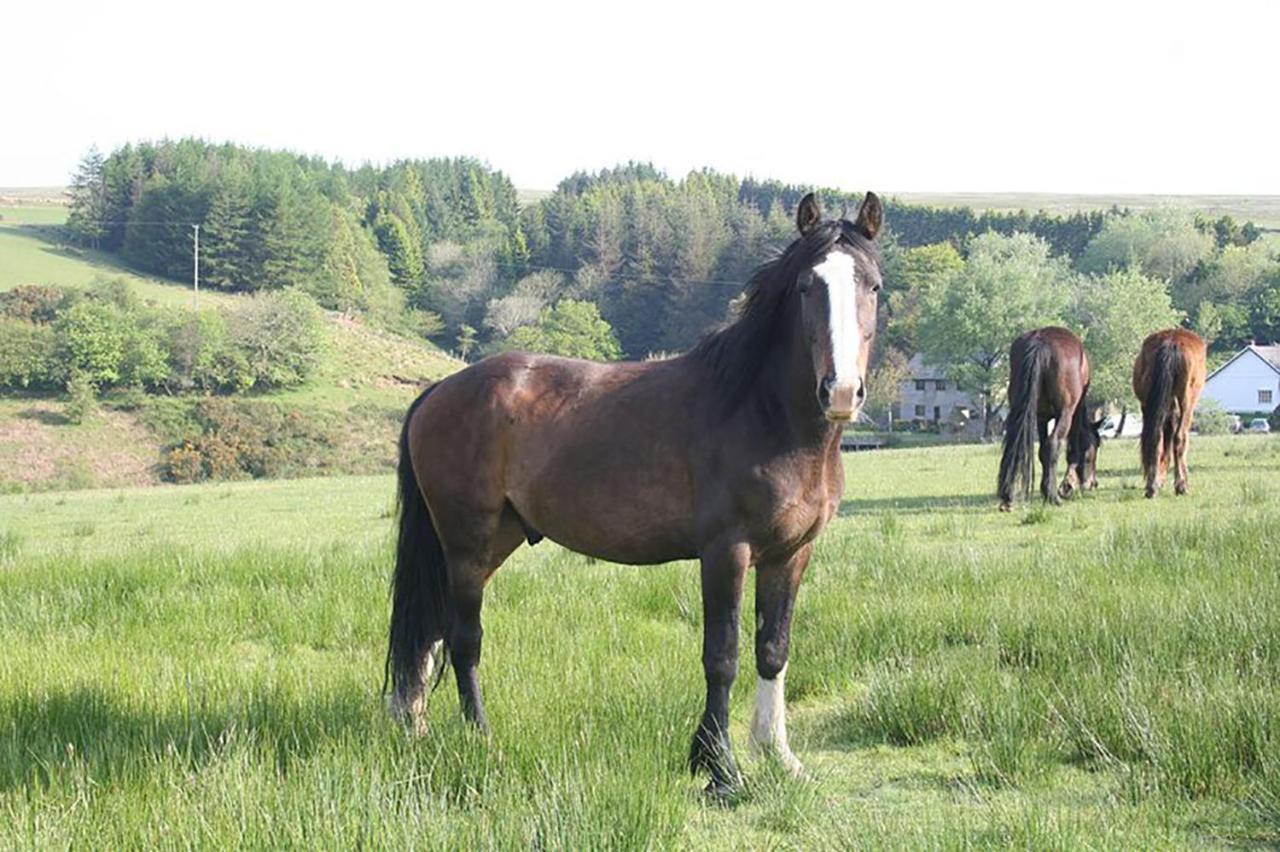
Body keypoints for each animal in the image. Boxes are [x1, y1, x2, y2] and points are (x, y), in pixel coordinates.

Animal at [384, 190, 885, 788]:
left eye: (873, 286)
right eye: (807, 286)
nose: (841, 391)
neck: (764, 415)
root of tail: (439, 391)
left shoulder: (791, 554)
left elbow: (773, 649)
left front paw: (778, 755)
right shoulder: (726, 552)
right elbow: (722, 656)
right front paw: (719, 767)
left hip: (488, 543)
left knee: (432, 629)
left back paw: (415, 727)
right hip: (467, 543)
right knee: (464, 639)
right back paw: (481, 739)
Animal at [993, 326, 1095, 511]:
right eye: (1094, 449)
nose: (1093, 483)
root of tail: (1040, 341)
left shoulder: (1041, 417)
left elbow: (1042, 451)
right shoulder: (1074, 413)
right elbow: (1072, 449)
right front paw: (1066, 485)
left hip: (1019, 410)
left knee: (1015, 446)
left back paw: (1008, 497)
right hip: (1065, 413)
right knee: (1054, 443)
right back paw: (1054, 496)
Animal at [1136, 326, 1203, 498]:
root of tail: (1171, 343)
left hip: (1149, 405)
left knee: (1156, 438)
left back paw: (1152, 487)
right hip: (1187, 403)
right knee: (1179, 438)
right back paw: (1181, 485)